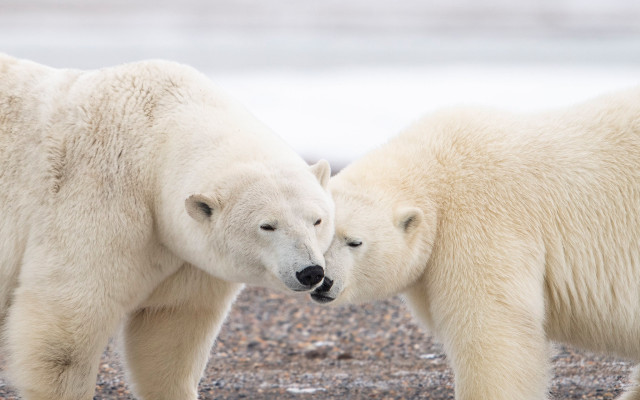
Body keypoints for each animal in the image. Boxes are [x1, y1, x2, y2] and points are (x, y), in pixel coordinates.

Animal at [0, 54, 334, 400]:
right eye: (267, 226)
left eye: (317, 220)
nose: (310, 272)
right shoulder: (98, 197)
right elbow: (67, 323)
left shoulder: (186, 256)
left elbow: (170, 332)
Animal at [311, 88, 640, 399]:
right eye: (317, 232)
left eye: (354, 242)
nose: (323, 281)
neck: (438, 168)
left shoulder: (480, 224)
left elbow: (490, 329)